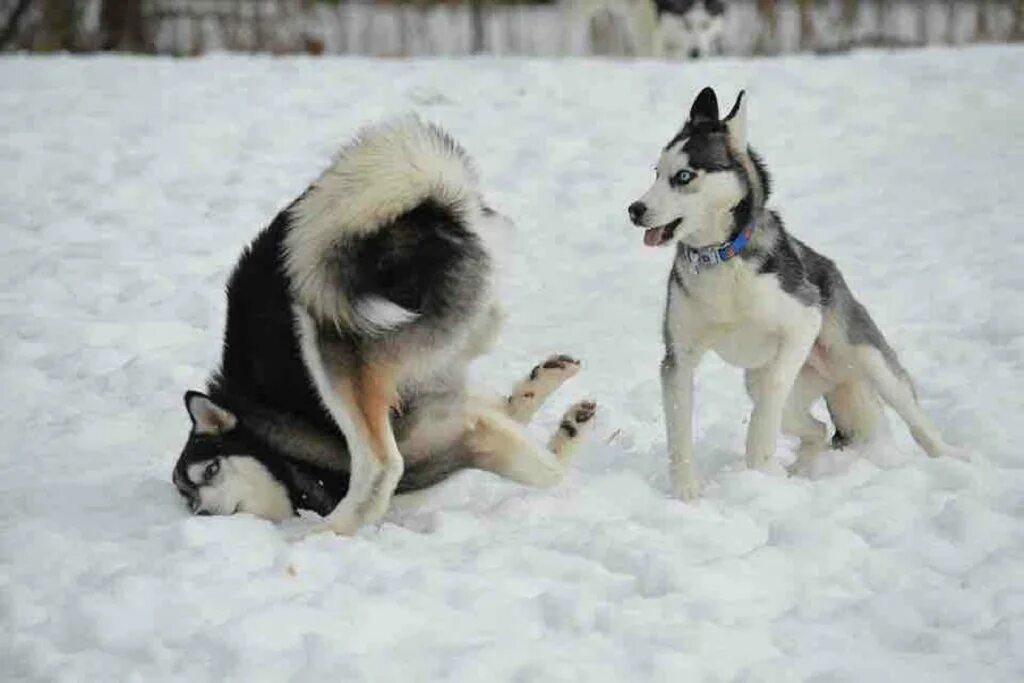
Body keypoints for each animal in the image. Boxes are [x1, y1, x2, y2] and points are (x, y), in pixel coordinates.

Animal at [172, 117, 598, 532]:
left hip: (324, 332)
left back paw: (328, 529)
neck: (272, 446)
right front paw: (566, 422)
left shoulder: (450, 432)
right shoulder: (465, 425)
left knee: (380, 466)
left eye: (209, 471)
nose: (202, 514)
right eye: (188, 498)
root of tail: (434, 213)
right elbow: (541, 457)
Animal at [626, 88, 946, 499]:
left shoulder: (804, 320)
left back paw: (954, 458)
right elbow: (679, 433)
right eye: (656, 172)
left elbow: (771, 393)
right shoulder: (678, 358)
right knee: (818, 429)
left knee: (917, 422)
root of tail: (838, 375)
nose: (635, 209)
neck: (722, 259)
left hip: (868, 359)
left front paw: (759, 462)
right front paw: (686, 494)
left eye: (683, 176)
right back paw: (801, 468)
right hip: (788, 395)